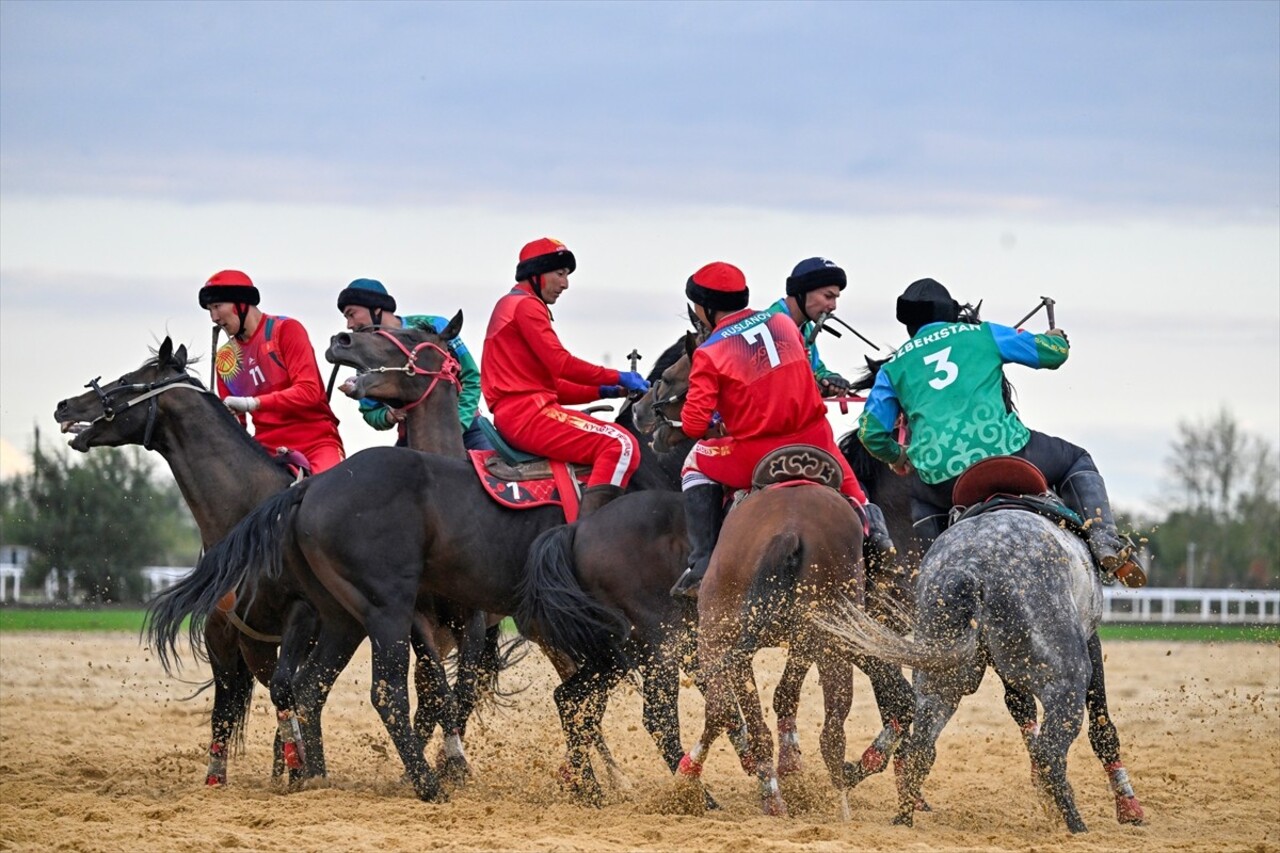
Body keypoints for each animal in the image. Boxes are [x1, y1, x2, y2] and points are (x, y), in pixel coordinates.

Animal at [148, 330, 701, 799]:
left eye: (409, 336)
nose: (340, 340)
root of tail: (310, 488)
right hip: (382, 611)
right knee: (384, 693)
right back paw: (424, 783)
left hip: (340, 618)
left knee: (306, 689)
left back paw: (313, 778)